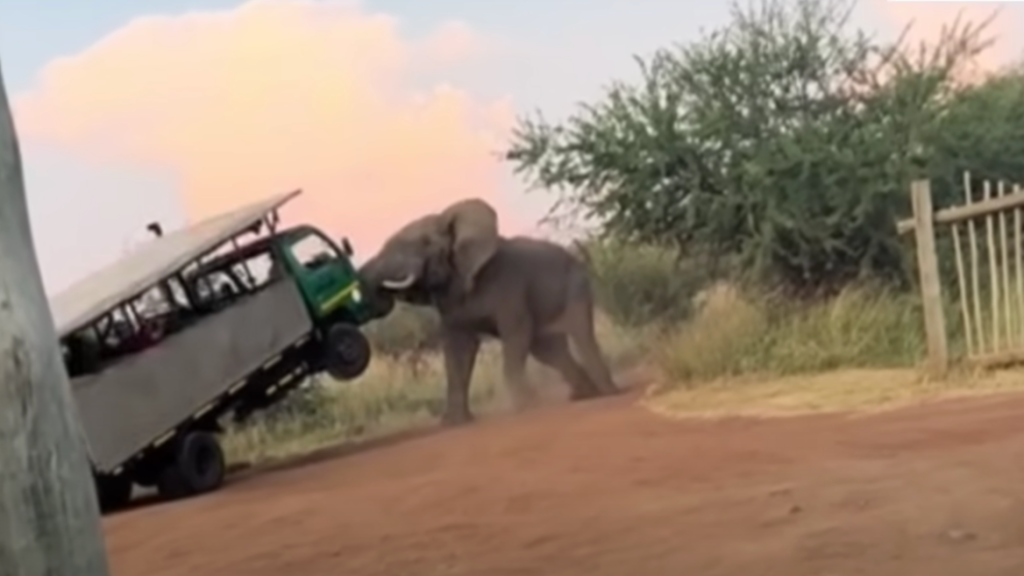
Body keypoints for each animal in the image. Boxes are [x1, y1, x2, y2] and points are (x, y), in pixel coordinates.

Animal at [357, 198, 620, 426]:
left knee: (580, 334)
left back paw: (607, 392)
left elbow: (516, 334)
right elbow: (459, 350)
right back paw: (583, 395)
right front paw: (454, 423)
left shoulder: (510, 285)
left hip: (576, 286)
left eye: (424, 243)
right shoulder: (452, 302)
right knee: (548, 350)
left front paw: (525, 406)